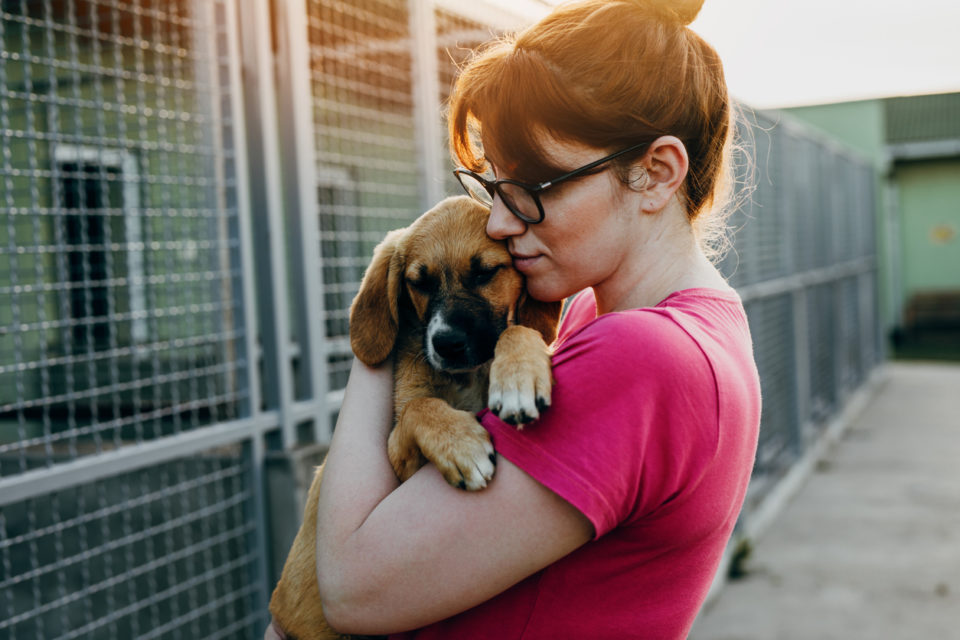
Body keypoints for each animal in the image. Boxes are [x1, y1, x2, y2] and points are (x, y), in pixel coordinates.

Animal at [266, 198, 564, 636]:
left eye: (485, 272)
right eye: (420, 283)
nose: (446, 343)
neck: (467, 377)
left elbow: (516, 330)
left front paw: (519, 375)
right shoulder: (399, 462)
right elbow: (418, 408)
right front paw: (462, 446)